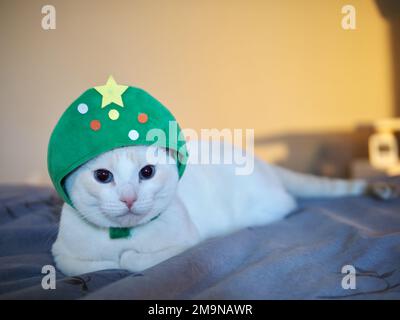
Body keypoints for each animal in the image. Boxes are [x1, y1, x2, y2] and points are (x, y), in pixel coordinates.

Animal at [52, 141, 396, 276]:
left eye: (147, 173)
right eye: (103, 177)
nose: (129, 198)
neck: (123, 236)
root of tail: (260, 160)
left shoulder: (187, 242)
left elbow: (133, 262)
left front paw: (126, 258)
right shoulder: (61, 256)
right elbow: (90, 266)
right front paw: (113, 260)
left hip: (263, 207)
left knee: (289, 203)